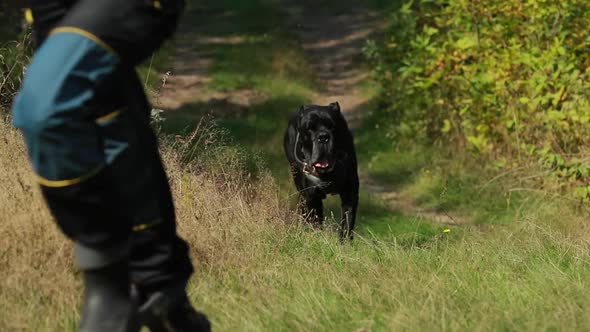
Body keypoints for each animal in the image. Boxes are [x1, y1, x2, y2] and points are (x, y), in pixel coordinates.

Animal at [284, 102, 358, 240]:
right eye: (309, 128)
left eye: (332, 127)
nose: (323, 136)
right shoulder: (311, 196)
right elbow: (315, 222)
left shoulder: (350, 191)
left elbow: (347, 221)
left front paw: (345, 242)